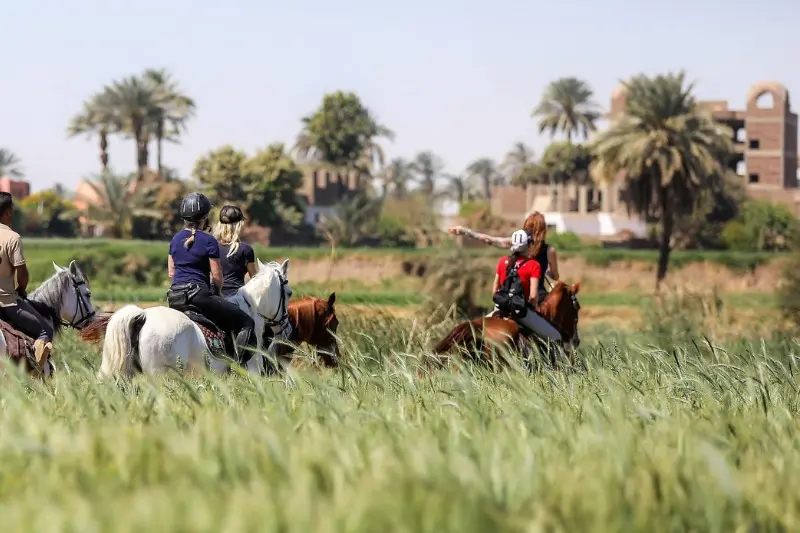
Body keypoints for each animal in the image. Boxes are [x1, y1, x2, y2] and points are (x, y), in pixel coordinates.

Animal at [97, 259, 293, 379]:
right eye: (290, 293)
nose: (287, 328)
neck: (251, 307)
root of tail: (143, 316)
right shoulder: (252, 371)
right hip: (160, 375)